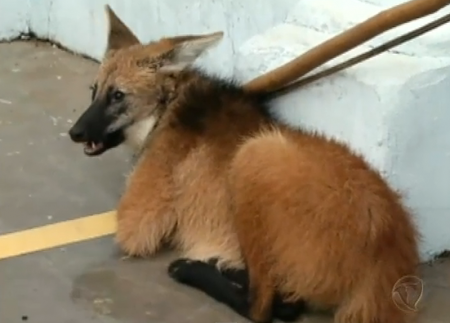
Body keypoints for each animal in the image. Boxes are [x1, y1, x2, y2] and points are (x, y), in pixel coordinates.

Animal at [68, 5, 420, 323]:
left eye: (117, 96)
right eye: (94, 91)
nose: (75, 132)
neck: (168, 109)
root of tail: (390, 249)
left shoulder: (138, 222)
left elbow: (131, 228)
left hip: (255, 154)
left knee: (264, 305)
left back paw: (194, 268)